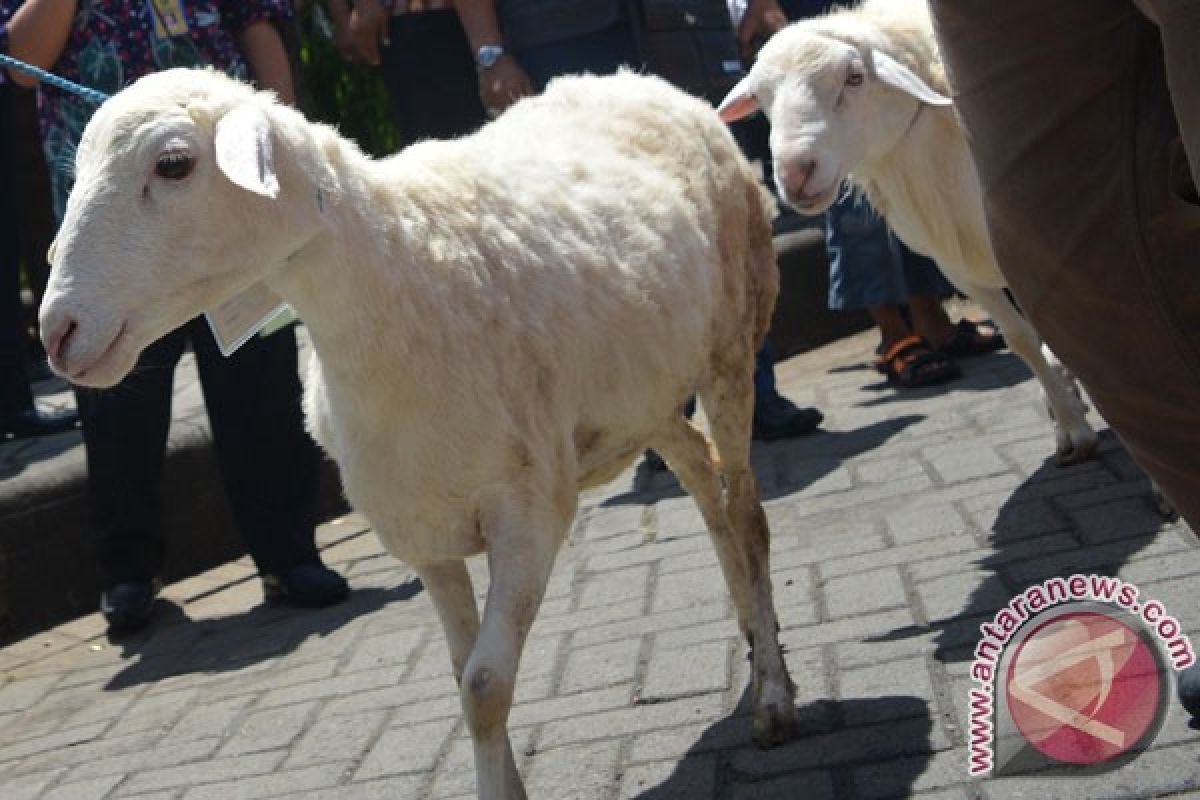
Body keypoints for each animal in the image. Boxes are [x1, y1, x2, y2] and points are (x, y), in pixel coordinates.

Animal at [39, 67, 796, 800]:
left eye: (173, 164)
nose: (56, 332)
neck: (402, 269)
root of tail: (642, 82)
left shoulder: (530, 508)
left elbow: (485, 686)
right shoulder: (423, 531)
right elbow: (465, 679)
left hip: (732, 345)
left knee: (746, 511)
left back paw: (773, 694)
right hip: (645, 387)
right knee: (702, 475)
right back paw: (749, 635)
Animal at [715, 0, 1099, 465]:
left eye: (855, 77)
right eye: (761, 99)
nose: (795, 174)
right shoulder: (959, 264)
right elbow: (1024, 338)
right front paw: (1069, 423)